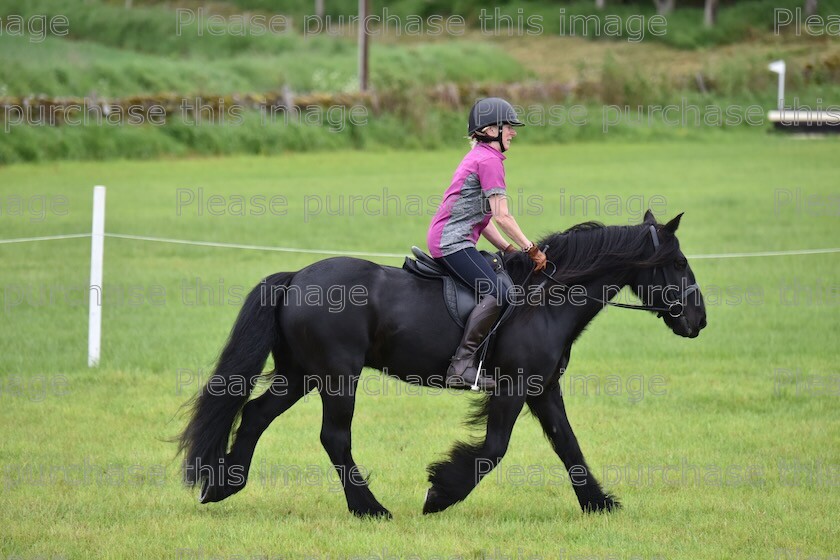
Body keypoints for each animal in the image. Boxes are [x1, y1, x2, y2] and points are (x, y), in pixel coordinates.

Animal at [179, 210, 708, 516]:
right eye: (679, 263)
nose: (699, 320)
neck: (546, 299)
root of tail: (295, 278)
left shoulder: (543, 388)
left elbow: (568, 445)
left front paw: (599, 504)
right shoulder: (514, 388)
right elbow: (493, 449)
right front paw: (440, 494)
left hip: (300, 375)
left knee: (254, 415)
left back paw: (222, 487)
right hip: (336, 376)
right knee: (333, 438)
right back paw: (369, 508)